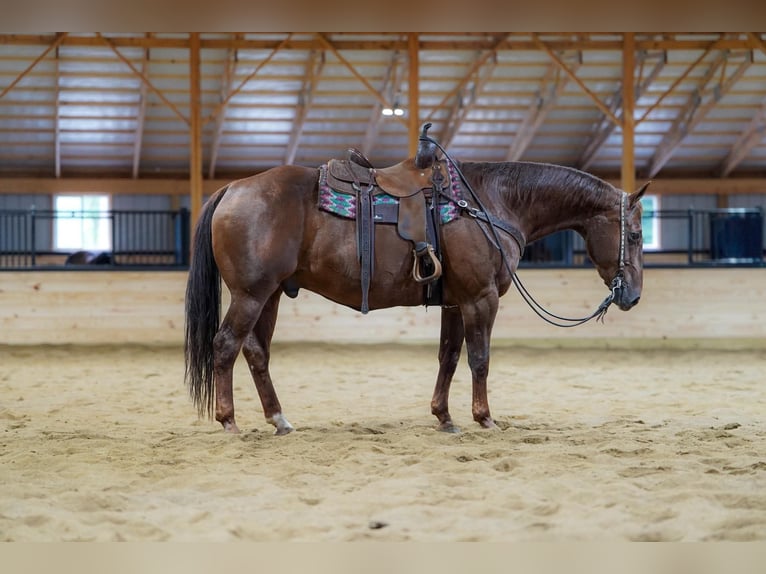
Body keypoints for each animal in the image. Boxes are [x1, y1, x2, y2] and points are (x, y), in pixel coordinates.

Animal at [184, 157, 648, 435]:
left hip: (272, 295)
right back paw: (229, 422)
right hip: (251, 294)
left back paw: (279, 419)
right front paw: (485, 418)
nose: (633, 296)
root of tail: (232, 189)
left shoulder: (456, 301)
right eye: (637, 235)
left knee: (256, 352)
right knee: (226, 345)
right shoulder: (481, 298)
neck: (489, 204)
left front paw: (444, 417)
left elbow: (450, 357)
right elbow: (480, 359)